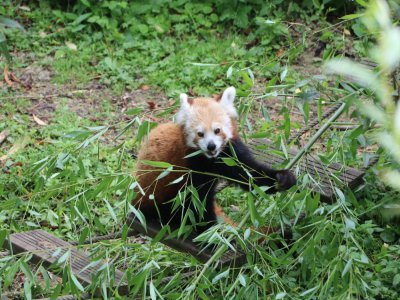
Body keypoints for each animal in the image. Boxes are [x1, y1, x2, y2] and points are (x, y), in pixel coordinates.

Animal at [133, 86, 296, 232]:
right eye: (200, 134)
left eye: (217, 130)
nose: (211, 146)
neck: (210, 159)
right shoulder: (189, 164)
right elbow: (196, 201)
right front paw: (210, 230)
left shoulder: (229, 153)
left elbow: (249, 174)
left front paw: (282, 178)